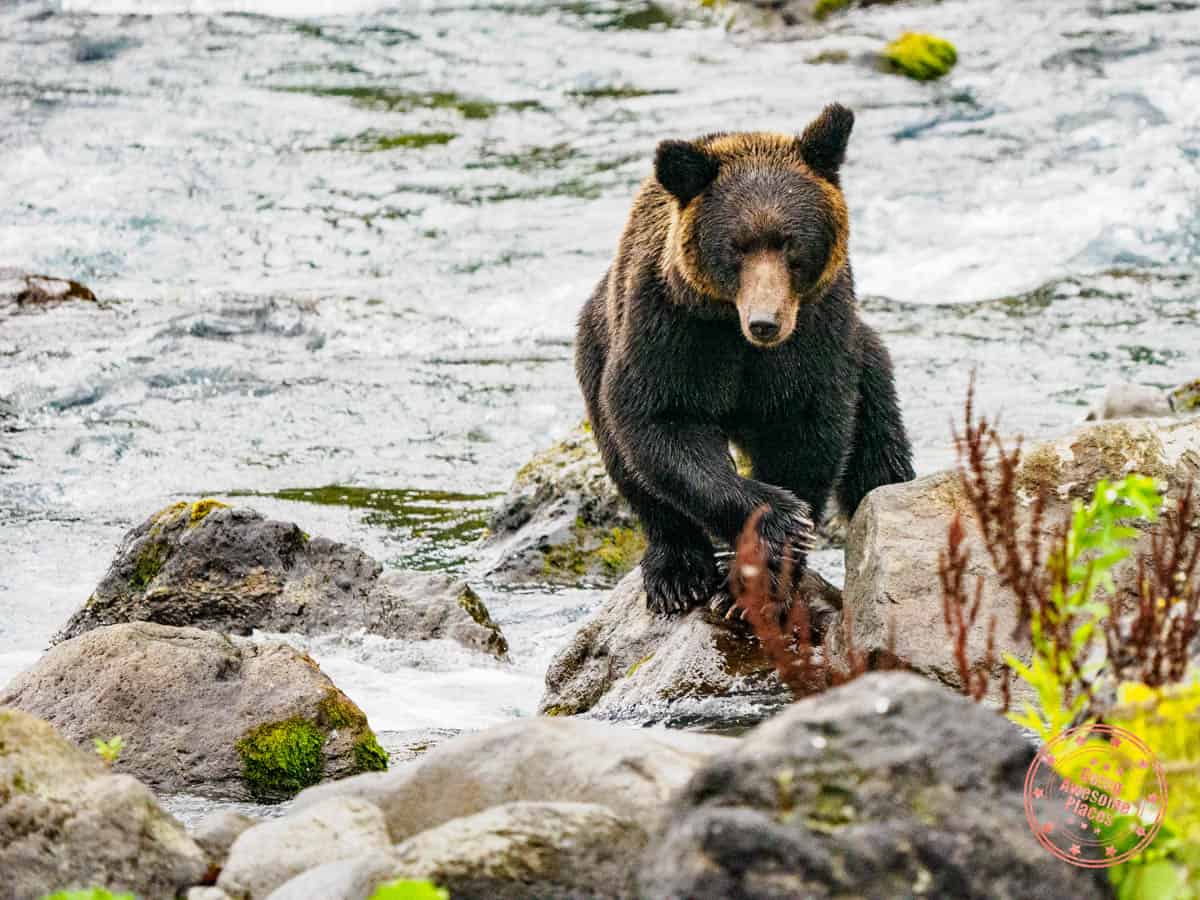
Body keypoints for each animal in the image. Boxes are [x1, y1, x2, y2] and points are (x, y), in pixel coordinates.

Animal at [576, 102, 912, 619]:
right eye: (736, 246)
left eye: (790, 243)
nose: (764, 322)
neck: (734, 331)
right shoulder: (671, 327)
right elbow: (663, 422)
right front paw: (780, 520)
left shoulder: (817, 332)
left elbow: (806, 432)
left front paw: (759, 580)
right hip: (596, 345)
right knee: (628, 465)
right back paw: (677, 572)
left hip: (866, 355)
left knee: (880, 450)